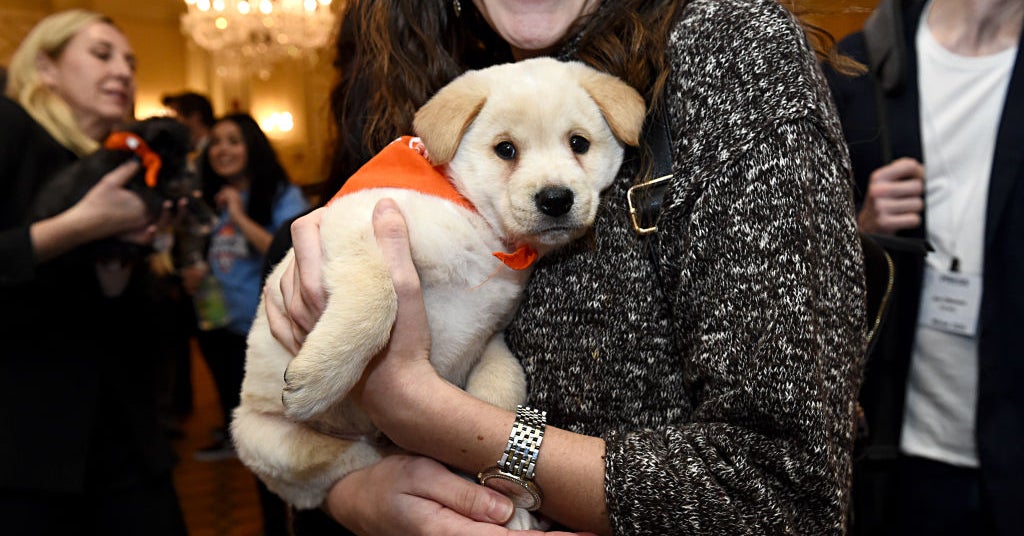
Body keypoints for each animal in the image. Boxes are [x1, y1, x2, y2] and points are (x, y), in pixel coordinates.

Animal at [31, 119, 214, 266]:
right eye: (177, 155)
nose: (191, 173)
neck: (139, 151)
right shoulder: (142, 188)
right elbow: (177, 198)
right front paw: (203, 216)